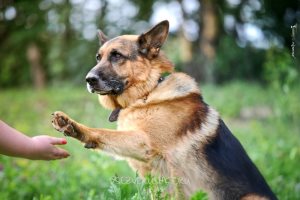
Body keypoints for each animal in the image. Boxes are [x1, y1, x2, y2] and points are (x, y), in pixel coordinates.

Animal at [51, 20, 276, 200]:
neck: (148, 92)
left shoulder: (144, 143)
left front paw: (73, 125)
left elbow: (102, 132)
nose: (88, 80)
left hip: (252, 197)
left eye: (117, 56)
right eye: (99, 58)